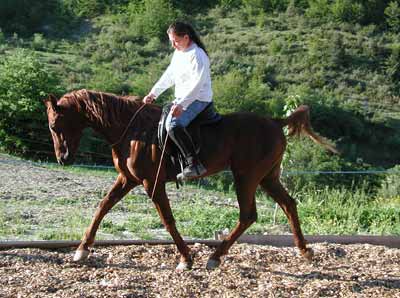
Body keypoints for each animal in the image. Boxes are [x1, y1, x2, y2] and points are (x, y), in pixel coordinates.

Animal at [44, 88, 338, 270]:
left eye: (54, 125)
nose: (63, 158)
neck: (132, 130)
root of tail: (276, 122)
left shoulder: (152, 184)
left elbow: (168, 220)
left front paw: (186, 259)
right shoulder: (127, 179)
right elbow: (103, 207)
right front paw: (82, 250)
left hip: (246, 177)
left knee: (248, 215)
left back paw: (215, 258)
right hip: (267, 177)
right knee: (288, 204)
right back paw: (304, 250)